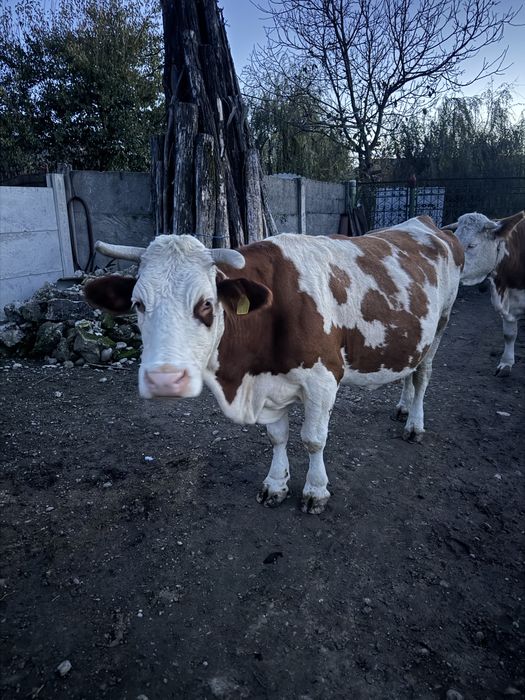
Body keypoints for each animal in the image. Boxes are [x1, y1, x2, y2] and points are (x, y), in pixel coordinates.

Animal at [85, 216, 463, 514]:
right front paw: (276, 483)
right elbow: (277, 436)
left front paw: (315, 490)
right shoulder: (268, 384)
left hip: (441, 324)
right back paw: (402, 408)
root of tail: (426, 223)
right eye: (138, 303)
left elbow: (313, 439)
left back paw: (414, 423)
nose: (164, 379)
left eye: (206, 304)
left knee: (423, 376)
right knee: (409, 372)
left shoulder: (324, 379)